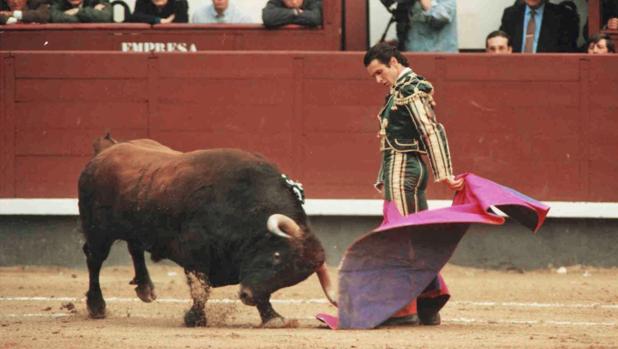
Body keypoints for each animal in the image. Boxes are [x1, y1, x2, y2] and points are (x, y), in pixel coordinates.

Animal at [79, 135, 336, 324]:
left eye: (291, 279)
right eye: (276, 257)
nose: (247, 296)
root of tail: (105, 152)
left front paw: (271, 317)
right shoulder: (195, 254)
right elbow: (201, 289)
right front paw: (195, 319)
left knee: (135, 248)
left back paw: (145, 289)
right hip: (98, 232)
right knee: (94, 260)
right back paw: (97, 306)